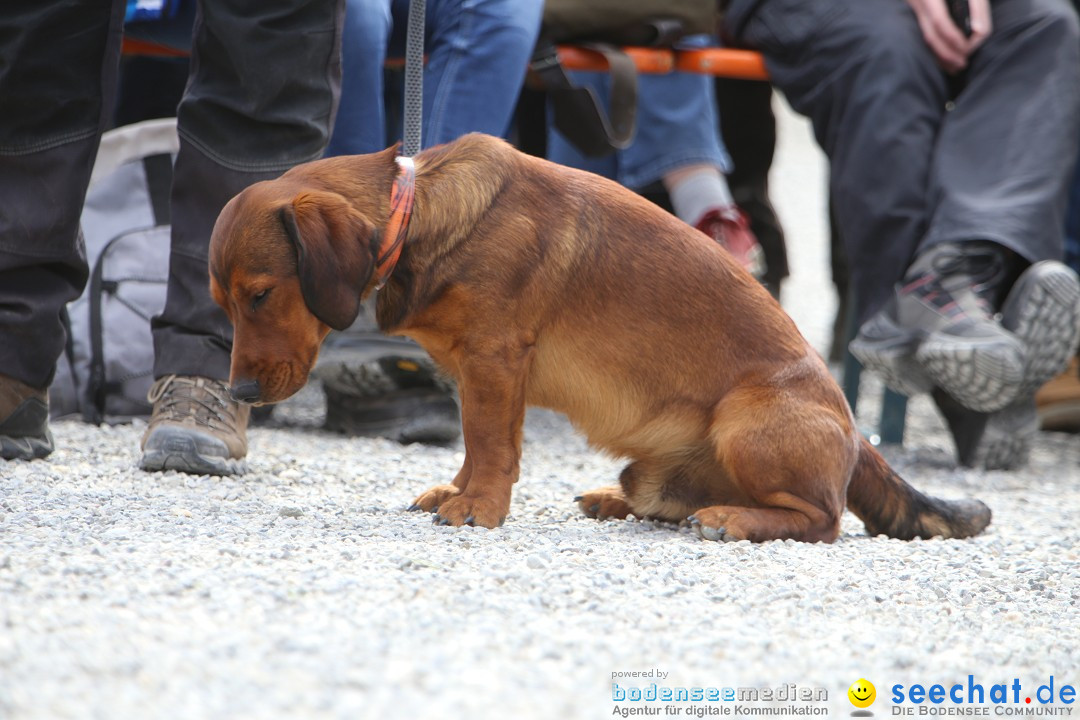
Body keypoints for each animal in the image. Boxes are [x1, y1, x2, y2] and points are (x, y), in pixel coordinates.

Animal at [206, 133, 989, 539]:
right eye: (224, 302)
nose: (238, 390)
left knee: (822, 518)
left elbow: (492, 446)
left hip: (748, 422)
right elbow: (475, 443)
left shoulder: (495, 363)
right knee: (667, 500)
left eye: (261, 295)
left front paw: (480, 508)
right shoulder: (473, 372)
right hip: (650, 465)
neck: (417, 208)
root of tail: (857, 433)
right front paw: (460, 491)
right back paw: (621, 503)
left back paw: (732, 518)